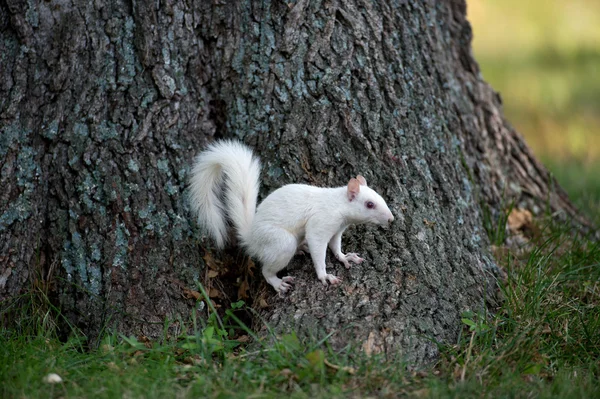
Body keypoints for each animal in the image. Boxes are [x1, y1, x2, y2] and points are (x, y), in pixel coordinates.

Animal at [188, 141, 394, 294]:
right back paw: (278, 283)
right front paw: (324, 276)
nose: (391, 219)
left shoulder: (337, 230)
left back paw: (301, 248)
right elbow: (318, 248)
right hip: (280, 242)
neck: (339, 205)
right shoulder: (321, 223)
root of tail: (251, 238)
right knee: (266, 270)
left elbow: (336, 246)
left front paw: (345, 257)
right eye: (369, 204)